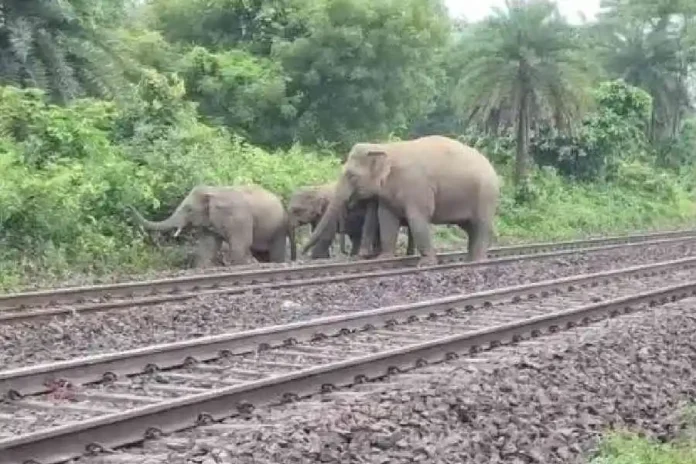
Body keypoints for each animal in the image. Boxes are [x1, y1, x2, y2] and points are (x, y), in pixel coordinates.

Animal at [128, 184, 296, 267]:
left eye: (188, 209)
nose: (130, 206)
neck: (214, 190)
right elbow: (208, 246)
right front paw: (201, 268)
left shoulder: (239, 218)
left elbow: (240, 244)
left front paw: (241, 266)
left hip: (279, 227)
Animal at [301, 135, 500, 266]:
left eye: (351, 176)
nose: (303, 254)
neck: (386, 148)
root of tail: (492, 167)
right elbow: (386, 218)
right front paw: (384, 258)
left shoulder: (417, 186)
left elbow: (417, 218)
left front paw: (426, 264)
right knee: (470, 227)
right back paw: (470, 259)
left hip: (485, 195)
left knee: (480, 225)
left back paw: (477, 261)